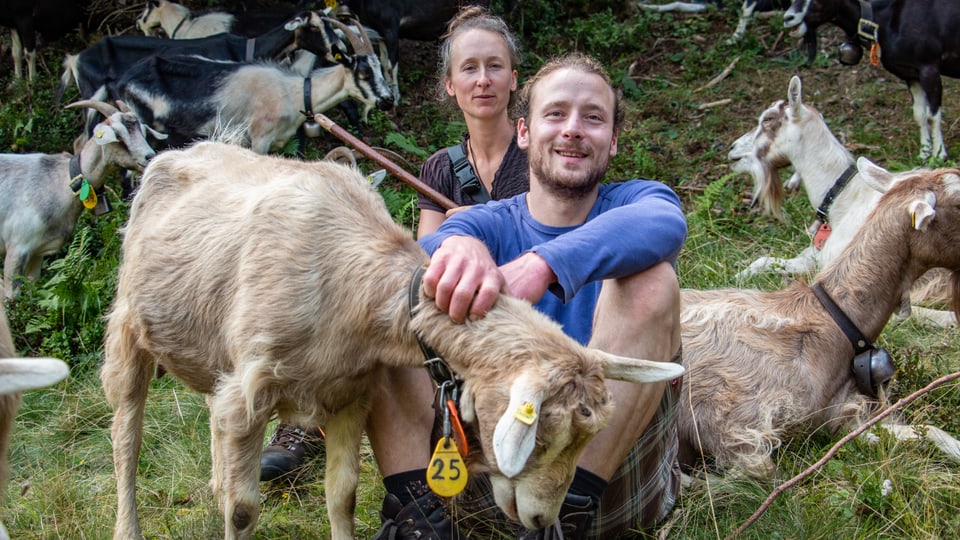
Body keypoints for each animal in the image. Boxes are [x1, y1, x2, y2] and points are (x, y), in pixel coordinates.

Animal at [0, 100, 159, 300]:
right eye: (119, 136)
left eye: (143, 132)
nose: (149, 157)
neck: (58, 182)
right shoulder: (17, 247)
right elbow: (11, 297)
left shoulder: (36, 253)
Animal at [99, 141, 684, 536]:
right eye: (540, 438)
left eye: (586, 439)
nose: (543, 519)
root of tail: (184, 148)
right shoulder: (251, 394)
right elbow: (243, 511)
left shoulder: (348, 394)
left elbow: (342, 494)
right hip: (128, 331)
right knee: (125, 440)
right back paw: (128, 524)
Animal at [116, 23, 394, 152]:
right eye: (363, 72)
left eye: (380, 68)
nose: (388, 100)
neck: (293, 92)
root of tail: (124, 80)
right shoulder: (259, 138)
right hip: (150, 128)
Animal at [680, 156, 960, 476]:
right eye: (959, 202)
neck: (834, 321)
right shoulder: (731, 422)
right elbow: (761, 472)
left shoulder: (844, 413)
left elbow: (930, 432)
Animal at [732, 75, 956, 330]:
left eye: (767, 119)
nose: (733, 149)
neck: (846, 197)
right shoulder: (819, 256)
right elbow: (765, 260)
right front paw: (740, 273)